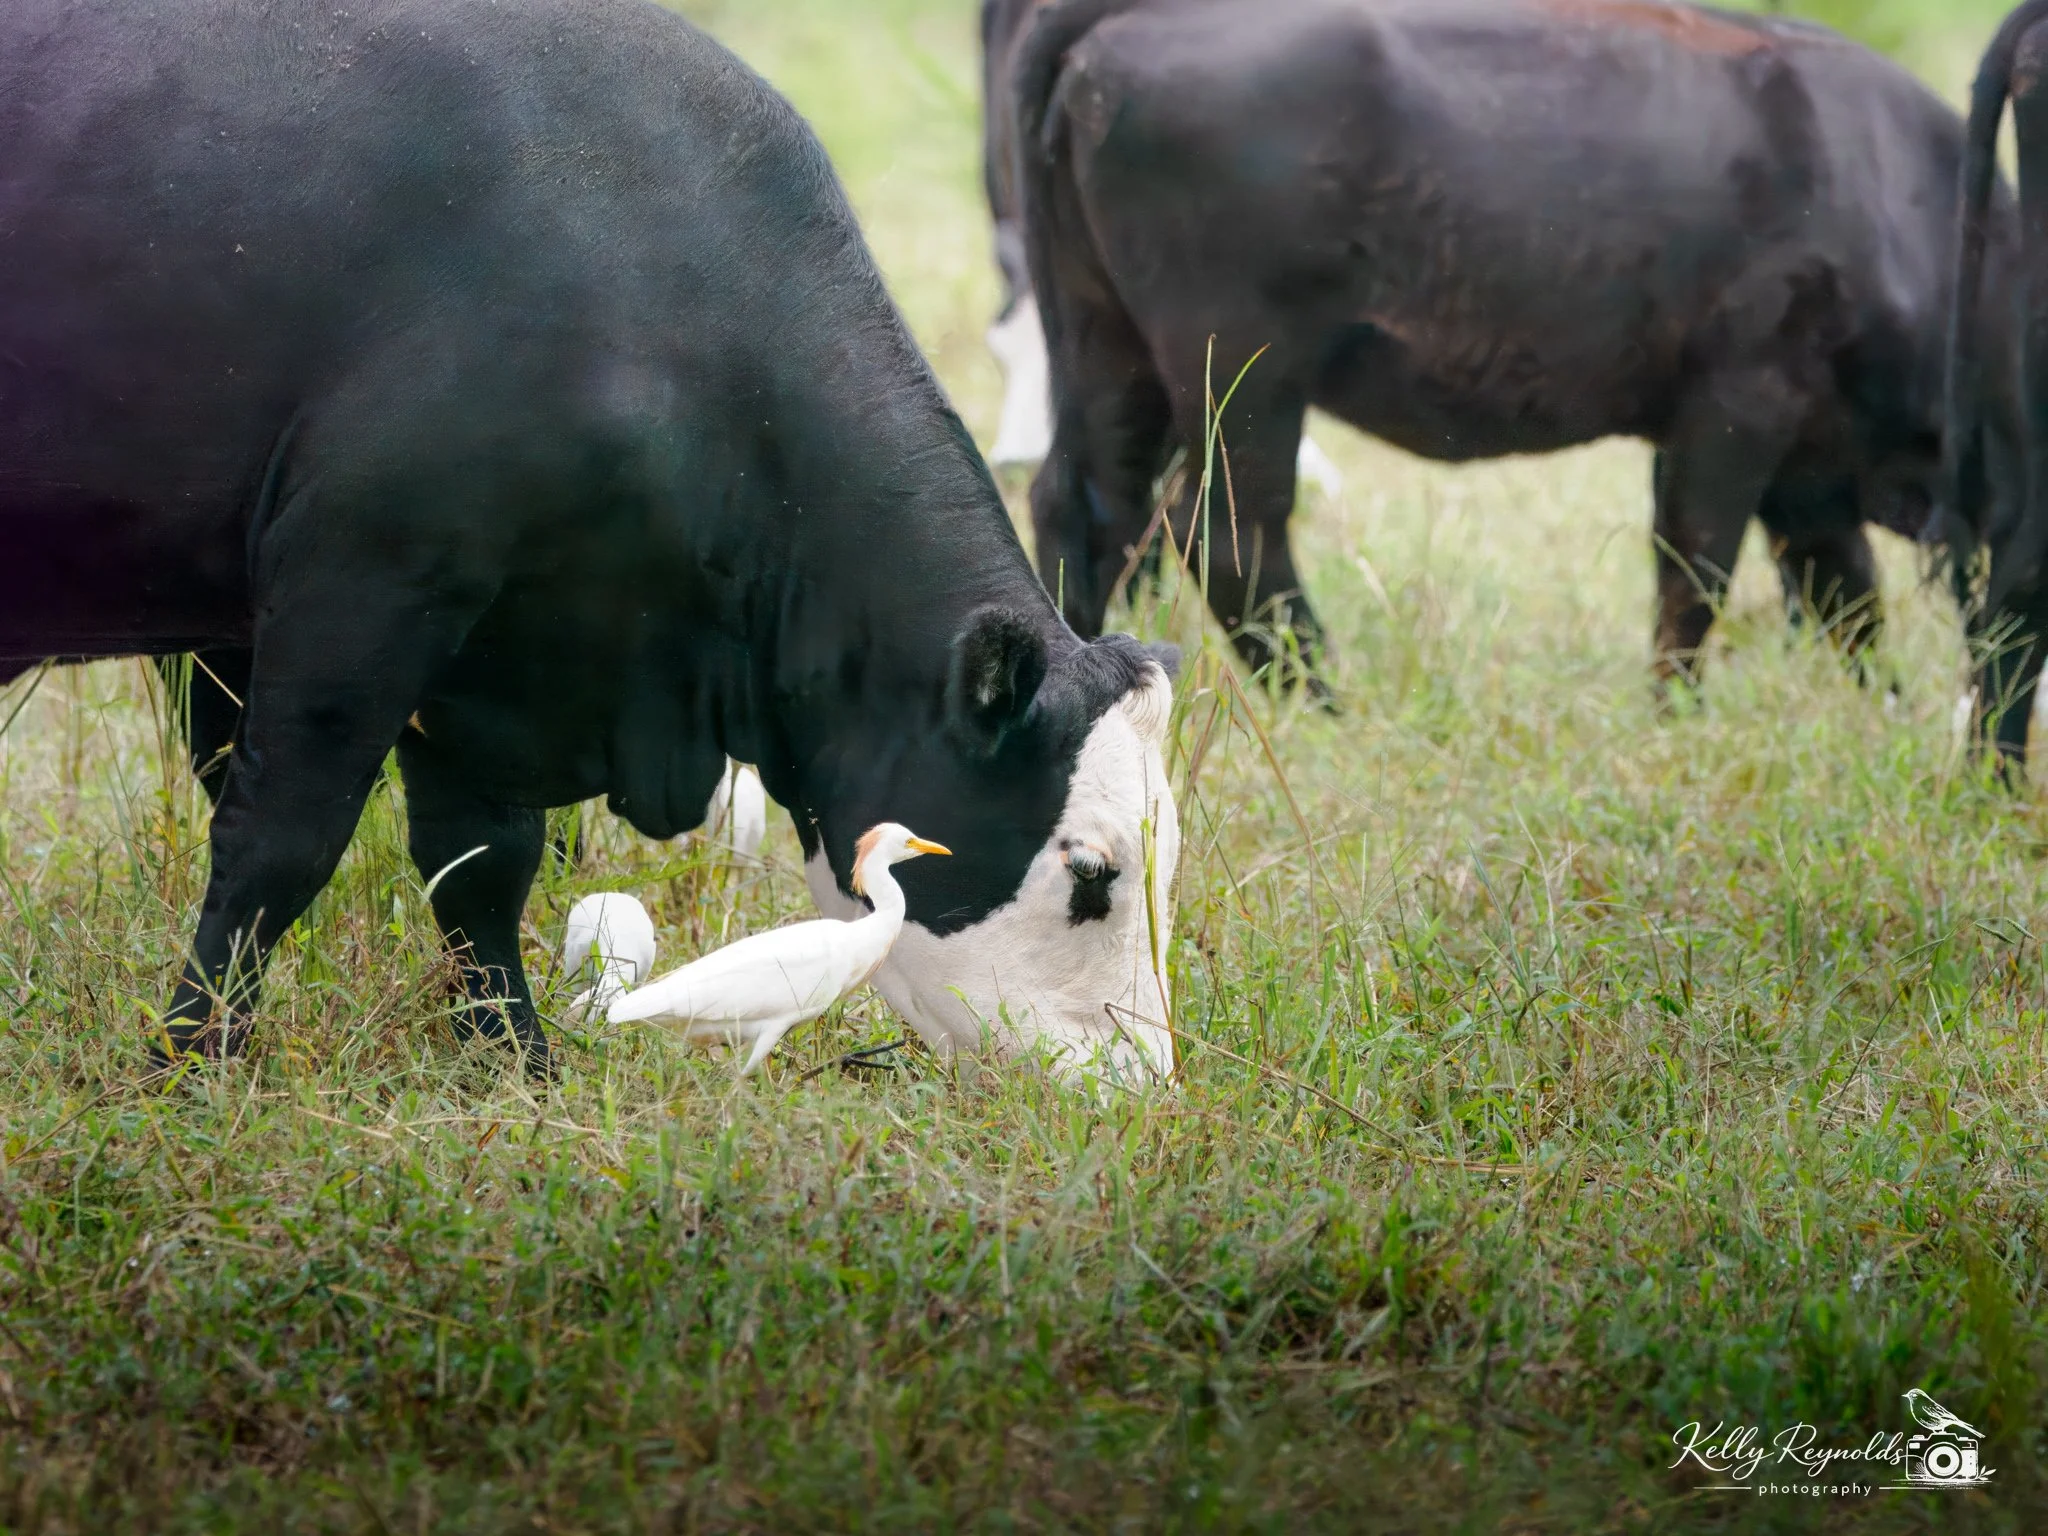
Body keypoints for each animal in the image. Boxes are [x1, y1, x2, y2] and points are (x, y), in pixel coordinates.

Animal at [0, 0, 1182, 1086]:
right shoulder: (364, 592)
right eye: (1090, 873)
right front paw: (185, 1064)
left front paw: (514, 1063)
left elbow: (481, 865)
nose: (1138, 1082)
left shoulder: (496, 640)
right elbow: (275, 848)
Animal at [1009, 0, 2020, 702]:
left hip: (1114, 354)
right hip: (1242, 373)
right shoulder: (1735, 411)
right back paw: (1326, 700)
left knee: (1088, 508)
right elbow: (1696, 572)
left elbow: (1845, 597)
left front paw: (1878, 712)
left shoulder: (1810, 463)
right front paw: (1675, 715)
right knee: (1224, 532)